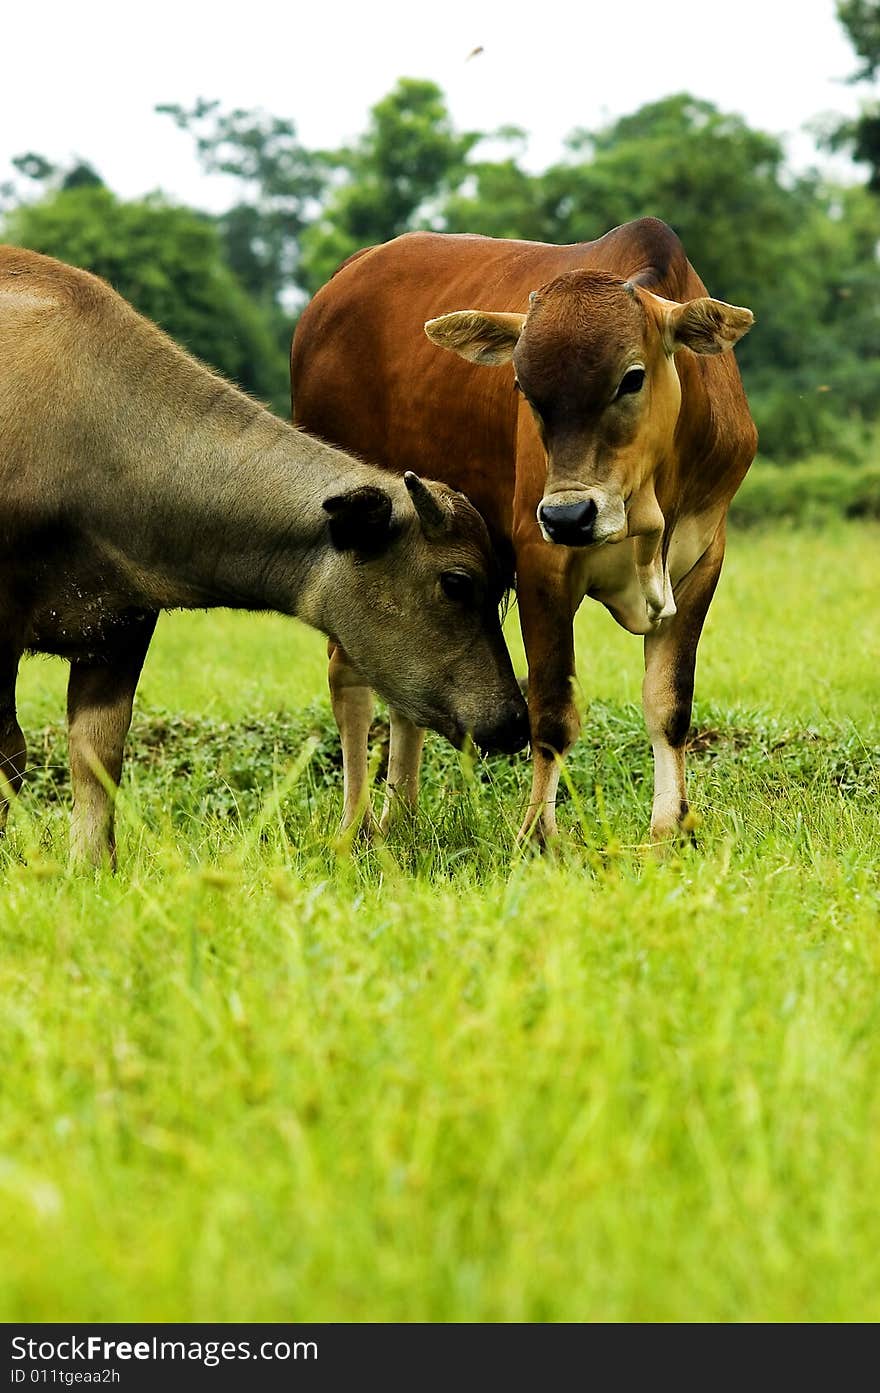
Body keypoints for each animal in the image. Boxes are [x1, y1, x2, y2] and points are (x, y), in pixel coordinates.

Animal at [1, 245, 529, 863]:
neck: (91, 440)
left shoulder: (121, 627)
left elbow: (98, 755)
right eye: (456, 581)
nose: (514, 720)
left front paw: (90, 865)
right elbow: (9, 754)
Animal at [291, 220, 757, 846]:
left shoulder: (703, 560)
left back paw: (403, 819)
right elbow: (552, 714)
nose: (569, 517)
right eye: (523, 387)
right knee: (350, 678)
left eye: (631, 378)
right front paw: (538, 836)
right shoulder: (542, 563)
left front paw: (670, 829)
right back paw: (356, 825)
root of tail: (337, 287)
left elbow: (669, 705)